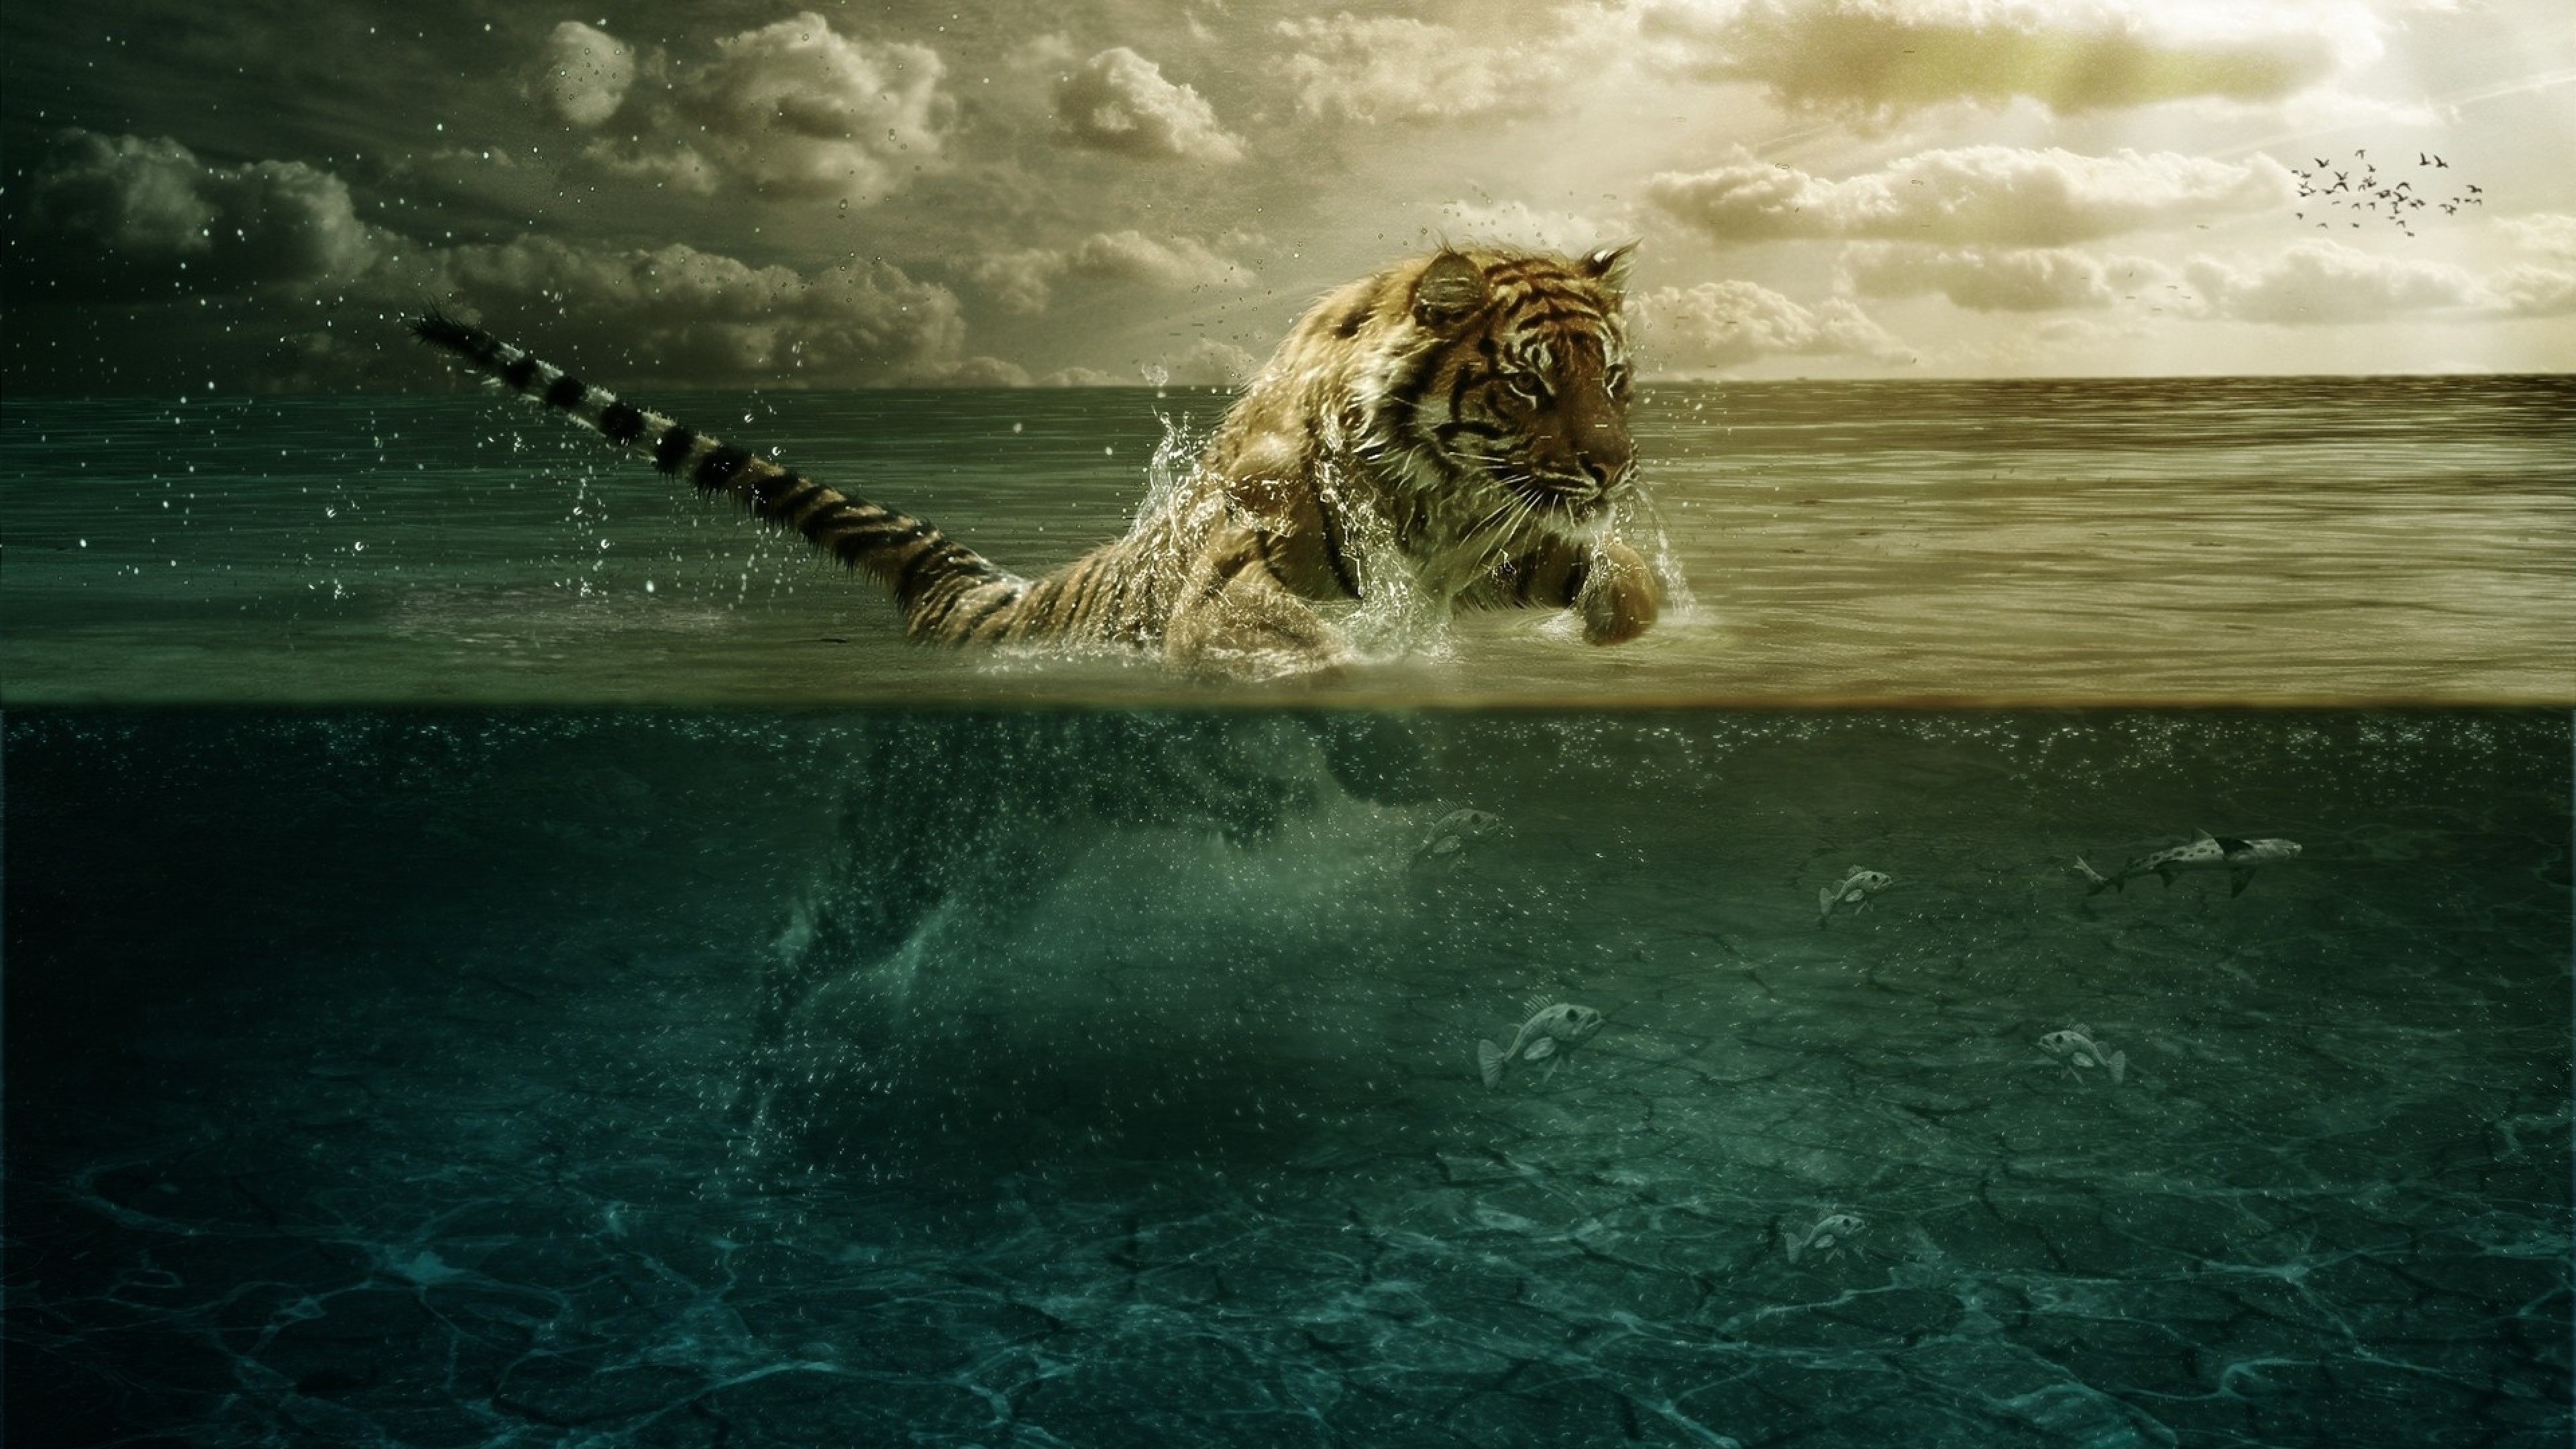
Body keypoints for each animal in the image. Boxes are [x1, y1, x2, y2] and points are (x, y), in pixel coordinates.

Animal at [408, 244, 1662, 677]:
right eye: (1528, 384)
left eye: (1614, 379)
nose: (1614, 470)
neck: (1440, 505)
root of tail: (977, 594)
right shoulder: (1236, 573)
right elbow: (1295, 641)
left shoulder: (1506, 547)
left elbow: (1623, 584)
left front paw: (1619, 621)